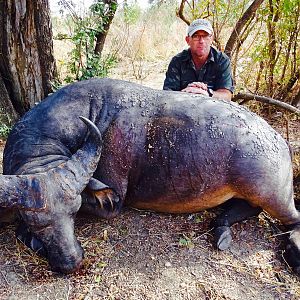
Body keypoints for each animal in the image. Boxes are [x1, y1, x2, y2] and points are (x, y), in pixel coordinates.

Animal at [0, 79, 300, 274]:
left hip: (270, 193)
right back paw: (221, 230)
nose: (72, 261)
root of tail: (279, 141)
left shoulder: (113, 201)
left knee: (291, 217)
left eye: (73, 213)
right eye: (36, 221)